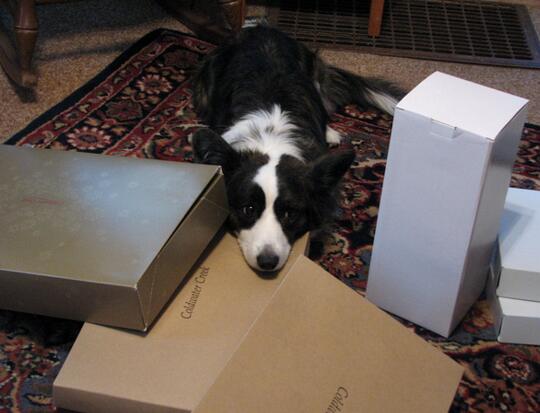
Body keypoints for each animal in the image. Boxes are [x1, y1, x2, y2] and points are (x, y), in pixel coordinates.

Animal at [191, 25, 400, 273]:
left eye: (290, 214)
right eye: (248, 209)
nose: (268, 262)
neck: (270, 138)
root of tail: (260, 27)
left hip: (313, 72)